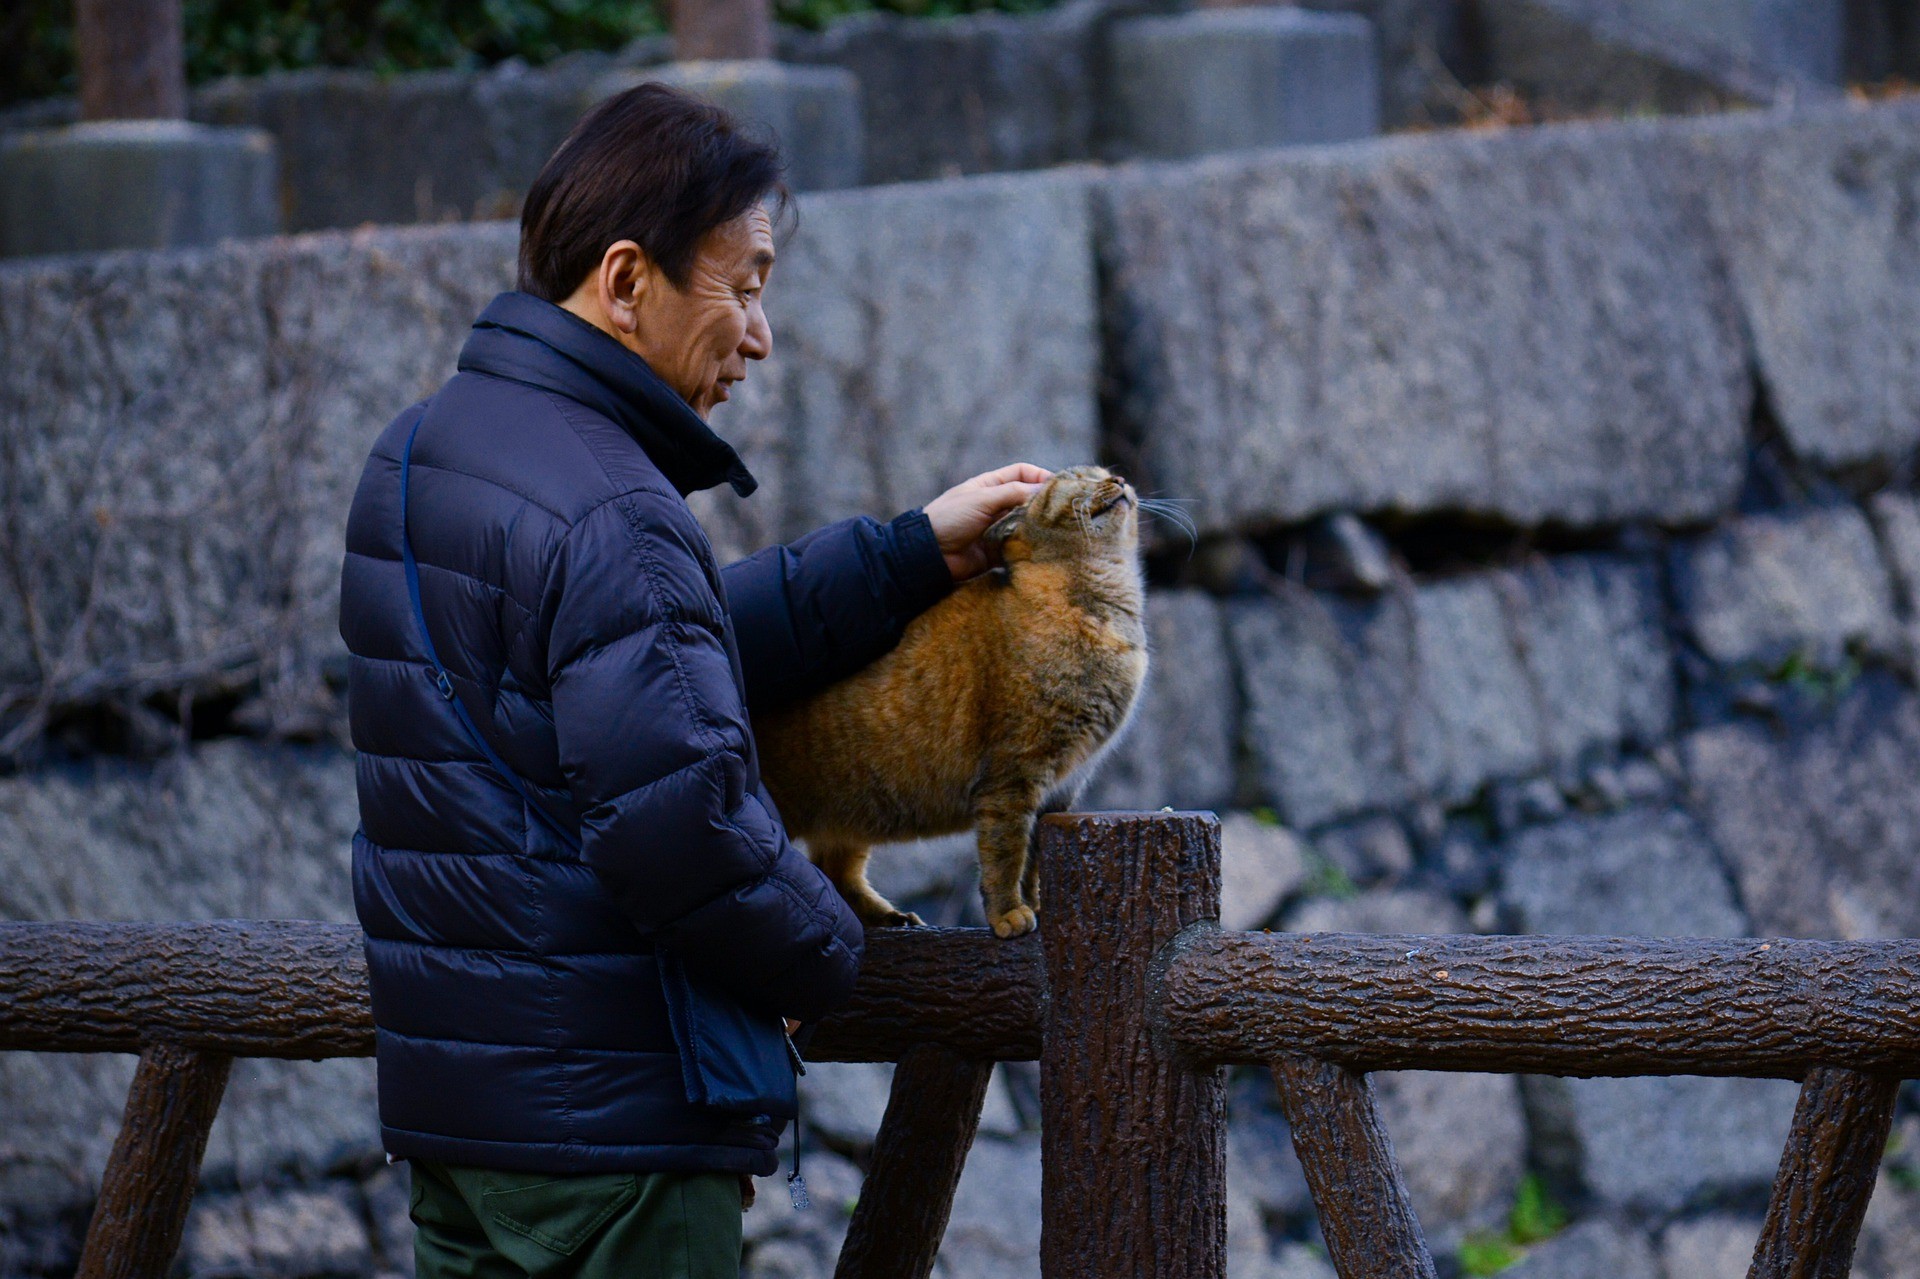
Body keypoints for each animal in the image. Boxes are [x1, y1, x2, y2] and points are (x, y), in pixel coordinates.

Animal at [756, 462, 1144, 933]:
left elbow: (1035, 861)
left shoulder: (1059, 789)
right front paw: (1008, 914)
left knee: (837, 870)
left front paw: (1035, 906)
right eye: (1076, 478)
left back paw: (888, 917)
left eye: (1104, 473)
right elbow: (1005, 853)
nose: (1120, 480)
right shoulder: (1013, 774)